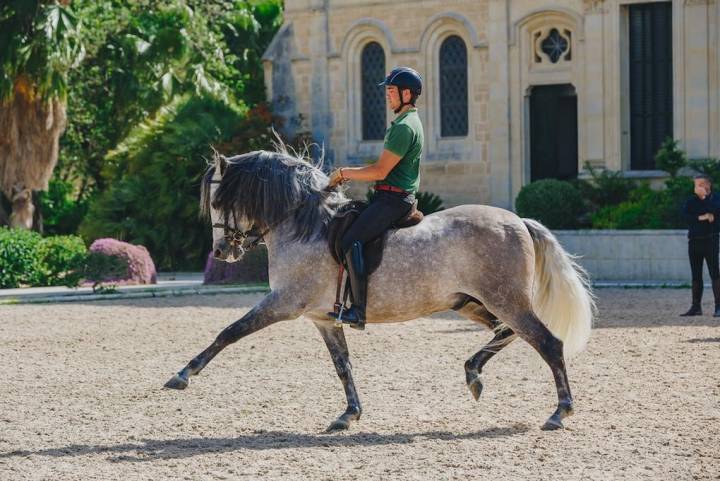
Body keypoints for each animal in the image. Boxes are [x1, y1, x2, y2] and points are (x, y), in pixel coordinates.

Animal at [165, 146, 596, 432]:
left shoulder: (283, 302)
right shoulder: (323, 318)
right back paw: (473, 375)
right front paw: (348, 414)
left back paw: (560, 412)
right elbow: (343, 365)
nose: (222, 252)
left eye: (218, 201)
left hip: (505, 300)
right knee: (506, 333)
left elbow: (229, 331)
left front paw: (183, 375)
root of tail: (520, 220)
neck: (302, 225)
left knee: (547, 342)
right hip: (471, 302)